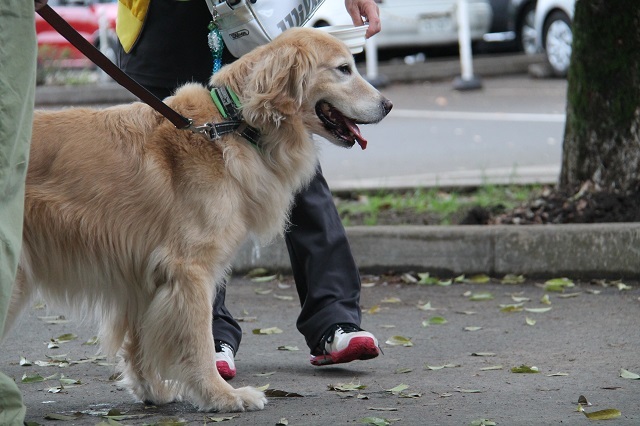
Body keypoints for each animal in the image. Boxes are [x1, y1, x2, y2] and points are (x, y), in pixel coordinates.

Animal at [3, 27, 390, 412]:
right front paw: (221, 396)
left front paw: (151, 390)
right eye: (343, 69)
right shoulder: (189, 270)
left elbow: (140, 344)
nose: (387, 105)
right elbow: (199, 342)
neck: (233, 124)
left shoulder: (141, 274)